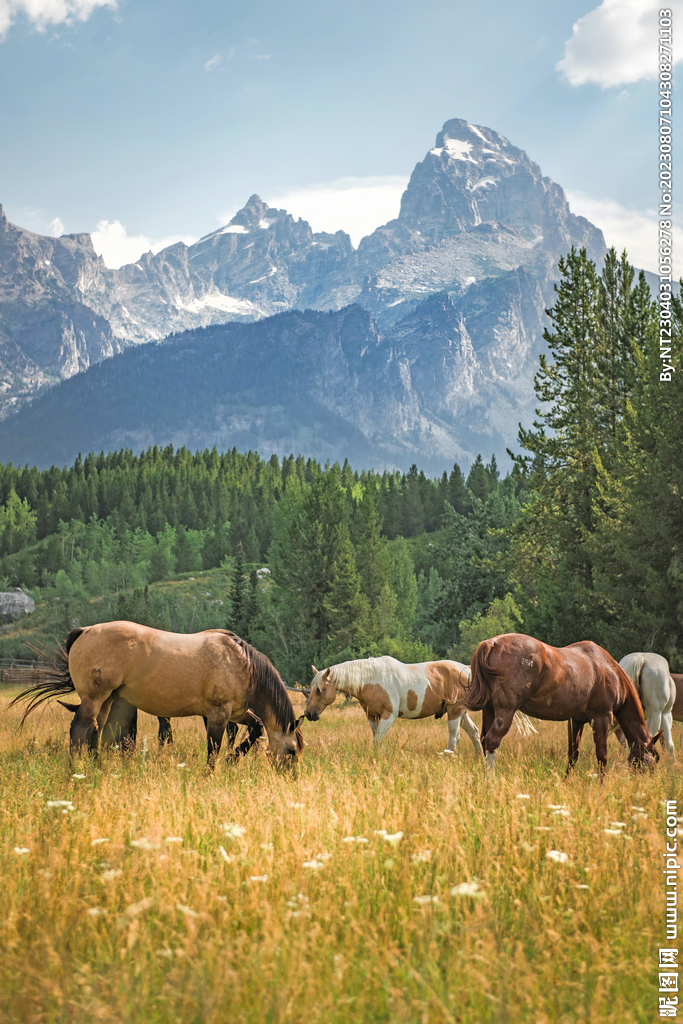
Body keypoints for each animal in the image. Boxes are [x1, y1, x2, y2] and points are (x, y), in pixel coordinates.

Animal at [11, 622, 304, 767]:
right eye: (291, 752)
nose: (290, 778)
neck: (243, 663)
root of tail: (85, 631)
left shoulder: (237, 712)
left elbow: (256, 728)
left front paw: (233, 759)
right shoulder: (218, 714)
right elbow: (213, 750)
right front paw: (212, 773)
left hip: (107, 700)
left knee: (96, 732)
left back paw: (98, 770)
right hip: (95, 698)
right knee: (80, 731)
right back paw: (77, 774)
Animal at [305, 655, 535, 755]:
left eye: (319, 690)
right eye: (311, 688)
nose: (308, 714)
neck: (371, 678)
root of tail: (467, 671)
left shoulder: (389, 715)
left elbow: (378, 740)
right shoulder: (372, 716)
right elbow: (375, 740)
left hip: (455, 712)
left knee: (454, 738)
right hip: (461, 713)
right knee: (474, 732)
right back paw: (480, 757)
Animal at [466, 633, 661, 775]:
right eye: (651, 760)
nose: (646, 781)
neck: (609, 669)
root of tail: (492, 643)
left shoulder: (576, 721)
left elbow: (573, 755)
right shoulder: (602, 717)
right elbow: (602, 756)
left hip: (489, 711)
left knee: (483, 740)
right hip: (505, 712)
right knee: (492, 741)